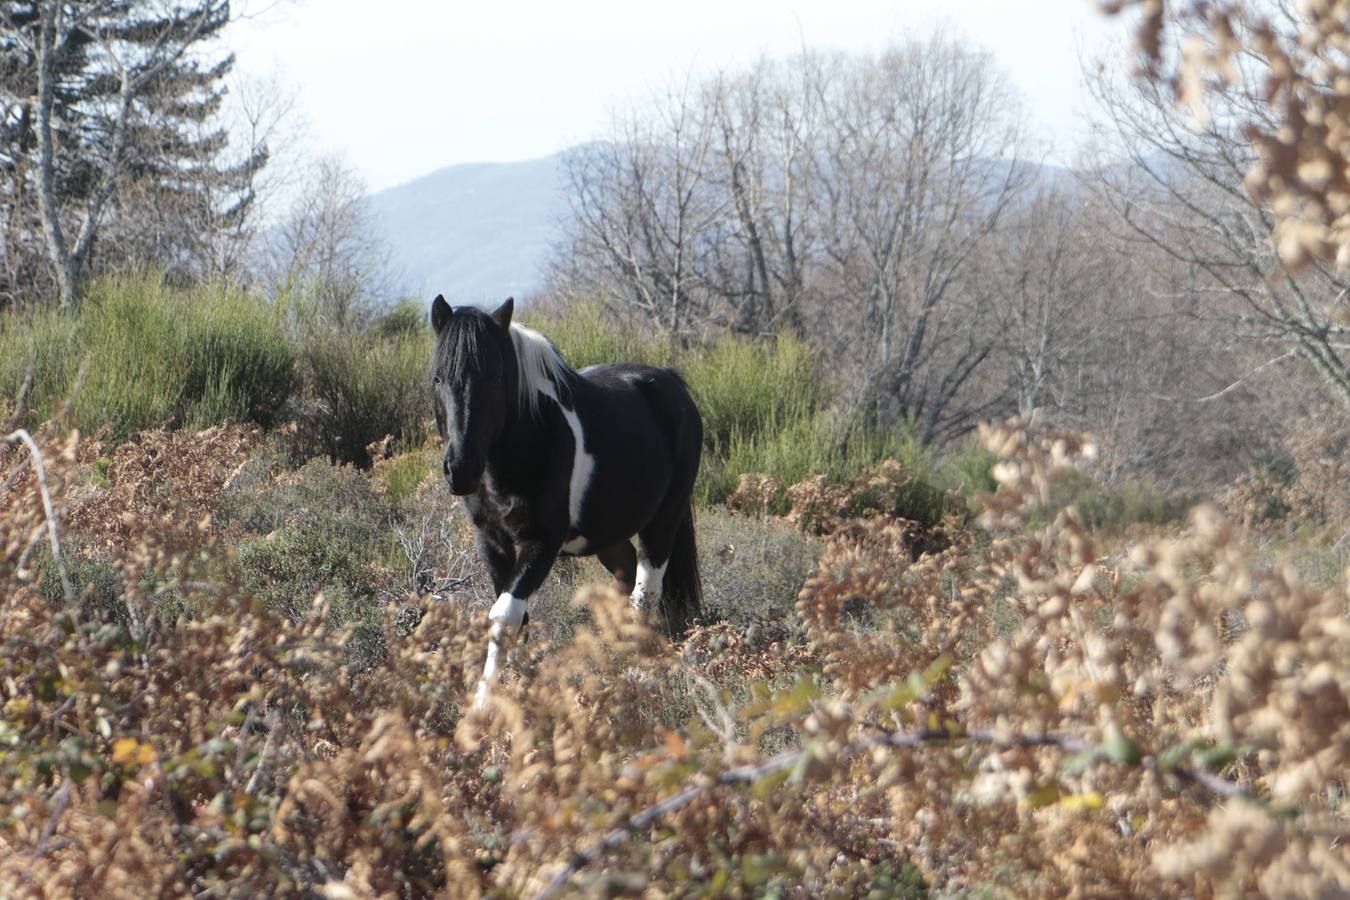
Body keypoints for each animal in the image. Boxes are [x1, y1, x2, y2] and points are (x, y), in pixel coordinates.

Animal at [428, 295, 703, 707]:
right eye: (437, 378)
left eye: (496, 378)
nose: (461, 469)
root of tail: (672, 383)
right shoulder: (492, 543)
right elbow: (514, 620)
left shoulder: (541, 544)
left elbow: (504, 616)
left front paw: (484, 708)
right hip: (608, 536)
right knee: (626, 580)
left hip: (664, 520)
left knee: (646, 593)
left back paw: (638, 673)